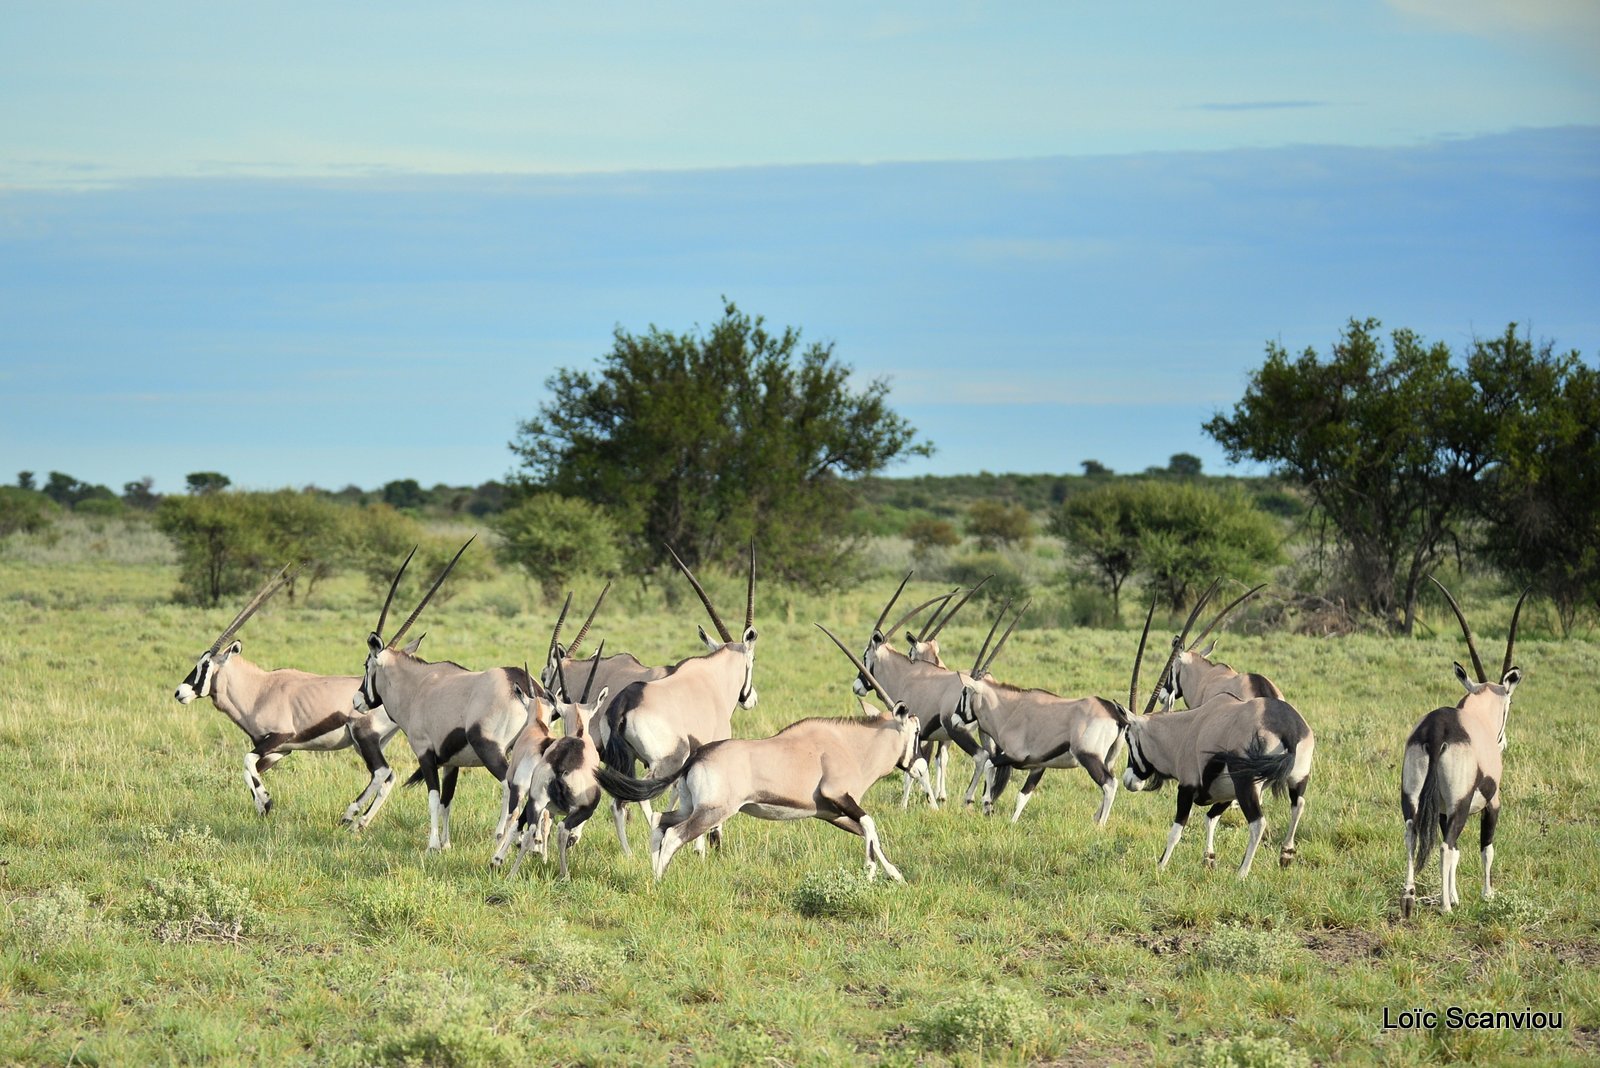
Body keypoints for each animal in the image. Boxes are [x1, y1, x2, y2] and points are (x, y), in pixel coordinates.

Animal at [168, 565, 400, 824]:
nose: (180, 692)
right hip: (369, 744)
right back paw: (362, 822)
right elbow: (249, 771)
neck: (258, 690)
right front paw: (262, 805)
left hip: (365, 738)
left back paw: (350, 816)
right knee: (388, 777)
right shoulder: (279, 749)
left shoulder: (279, 736)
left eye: (206, 665)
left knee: (381, 772)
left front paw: (266, 801)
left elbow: (246, 761)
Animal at [598, 620, 928, 882]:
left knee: (660, 823)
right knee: (674, 836)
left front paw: (895, 874)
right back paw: (660, 882)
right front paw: (871, 872)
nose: (918, 766)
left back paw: (654, 874)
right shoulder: (839, 797)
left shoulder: (830, 812)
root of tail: (697, 757)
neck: (852, 745)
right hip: (712, 811)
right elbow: (871, 825)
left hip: (690, 806)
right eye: (915, 731)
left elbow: (869, 833)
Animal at [1120, 591, 1305, 876]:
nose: (1129, 780)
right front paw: (1208, 858)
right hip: (1297, 779)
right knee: (1298, 805)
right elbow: (1211, 817)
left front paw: (1160, 865)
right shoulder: (1225, 794)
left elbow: (1176, 830)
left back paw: (1241, 873)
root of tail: (1290, 732)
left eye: (1128, 739)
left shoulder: (1187, 788)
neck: (1185, 730)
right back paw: (1285, 855)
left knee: (1258, 822)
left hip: (1246, 784)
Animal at [1408, 578, 1529, 914]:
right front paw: (1486, 895)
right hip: (1460, 804)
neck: (1475, 714)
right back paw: (1445, 908)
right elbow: (1486, 849)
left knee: (1414, 836)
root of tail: (1438, 732)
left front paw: (1457, 895)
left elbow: (1461, 852)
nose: (1502, 741)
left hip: (1414, 800)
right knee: (1446, 847)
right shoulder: (1493, 803)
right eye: (1510, 703)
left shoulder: (1440, 811)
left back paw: (1409, 897)